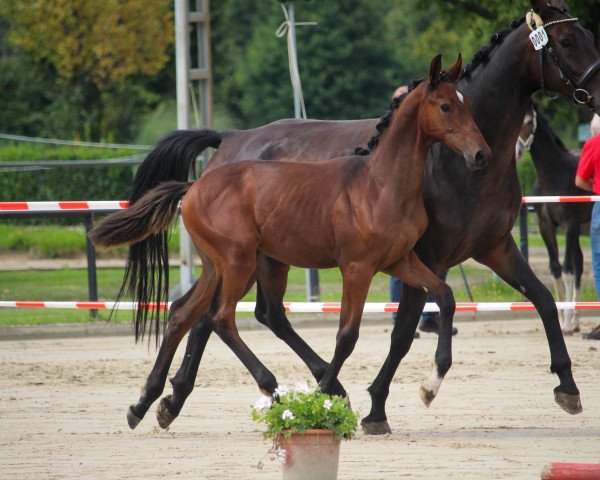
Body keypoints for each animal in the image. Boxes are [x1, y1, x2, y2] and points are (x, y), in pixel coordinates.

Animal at [91, 55, 490, 424]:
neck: (380, 185)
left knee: (183, 313)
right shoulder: (356, 268)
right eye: (445, 106)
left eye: (469, 105)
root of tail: (192, 187)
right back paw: (272, 390)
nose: (481, 154)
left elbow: (445, 296)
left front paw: (431, 385)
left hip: (221, 266)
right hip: (239, 262)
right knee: (221, 319)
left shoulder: (400, 260)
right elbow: (347, 336)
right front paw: (328, 395)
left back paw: (147, 404)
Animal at [516, 102, 592, 334]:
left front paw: (565, 322)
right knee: (580, 262)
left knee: (576, 265)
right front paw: (561, 317)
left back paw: (573, 319)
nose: (517, 152)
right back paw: (576, 320)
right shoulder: (546, 227)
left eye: (529, 122)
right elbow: (555, 269)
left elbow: (567, 270)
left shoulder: (570, 225)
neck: (554, 174)